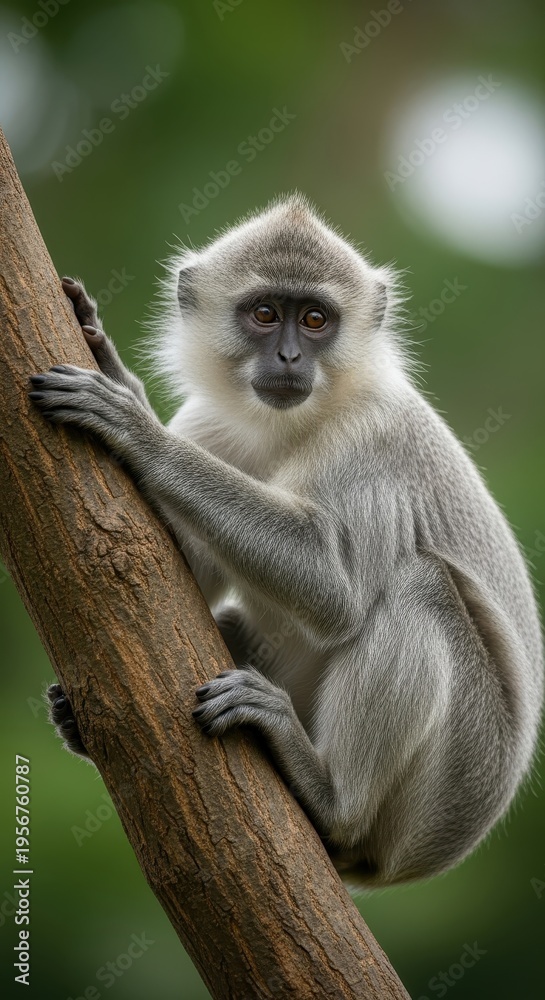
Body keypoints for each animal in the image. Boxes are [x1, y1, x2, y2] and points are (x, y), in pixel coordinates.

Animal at [32, 194, 542, 888]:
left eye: (316, 319)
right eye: (266, 314)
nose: (291, 358)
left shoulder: (371, 436)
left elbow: (338, 592)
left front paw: (139, 432)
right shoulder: (211, 424)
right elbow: (156, 567)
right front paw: (112, 367)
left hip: (451, 781)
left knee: (421, 587)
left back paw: (329, 798)